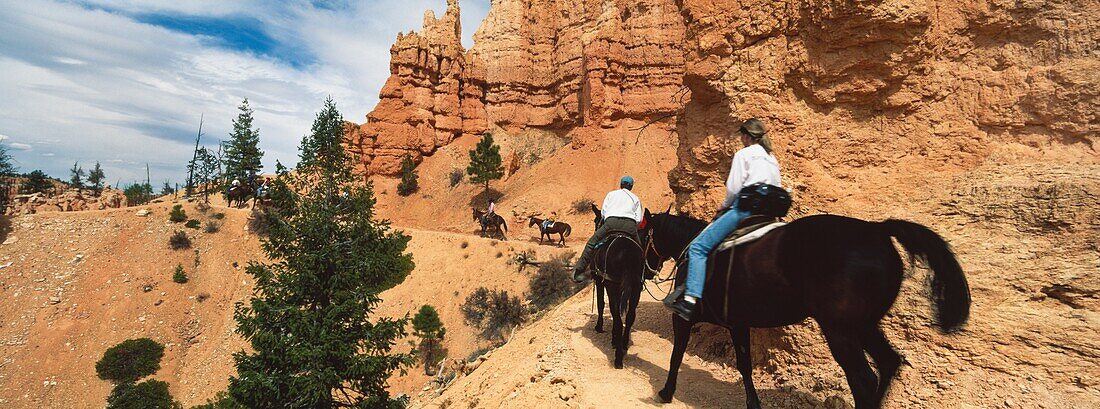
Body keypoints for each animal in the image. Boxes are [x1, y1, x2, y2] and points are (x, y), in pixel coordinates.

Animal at [585, 204, 642, 367]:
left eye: (595, 220)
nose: (595, 228)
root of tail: (628, 253)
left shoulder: (600, 281)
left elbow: (600, 303)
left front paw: (599, 327)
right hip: (636, 288)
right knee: (629, 317)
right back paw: (623, 344)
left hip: (613, 286)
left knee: (617, 317)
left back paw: (618, 357)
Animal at [642, 211, 972, 409]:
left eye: (646, 236)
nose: (646, 271)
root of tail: (877, 231)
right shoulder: (739, 324)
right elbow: (745, 366)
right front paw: (753, 403)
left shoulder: (684, 318)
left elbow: (676, 354)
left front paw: (666, 392)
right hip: (864, 325)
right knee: (888, 363)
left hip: (840, 330)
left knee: (863, 379)